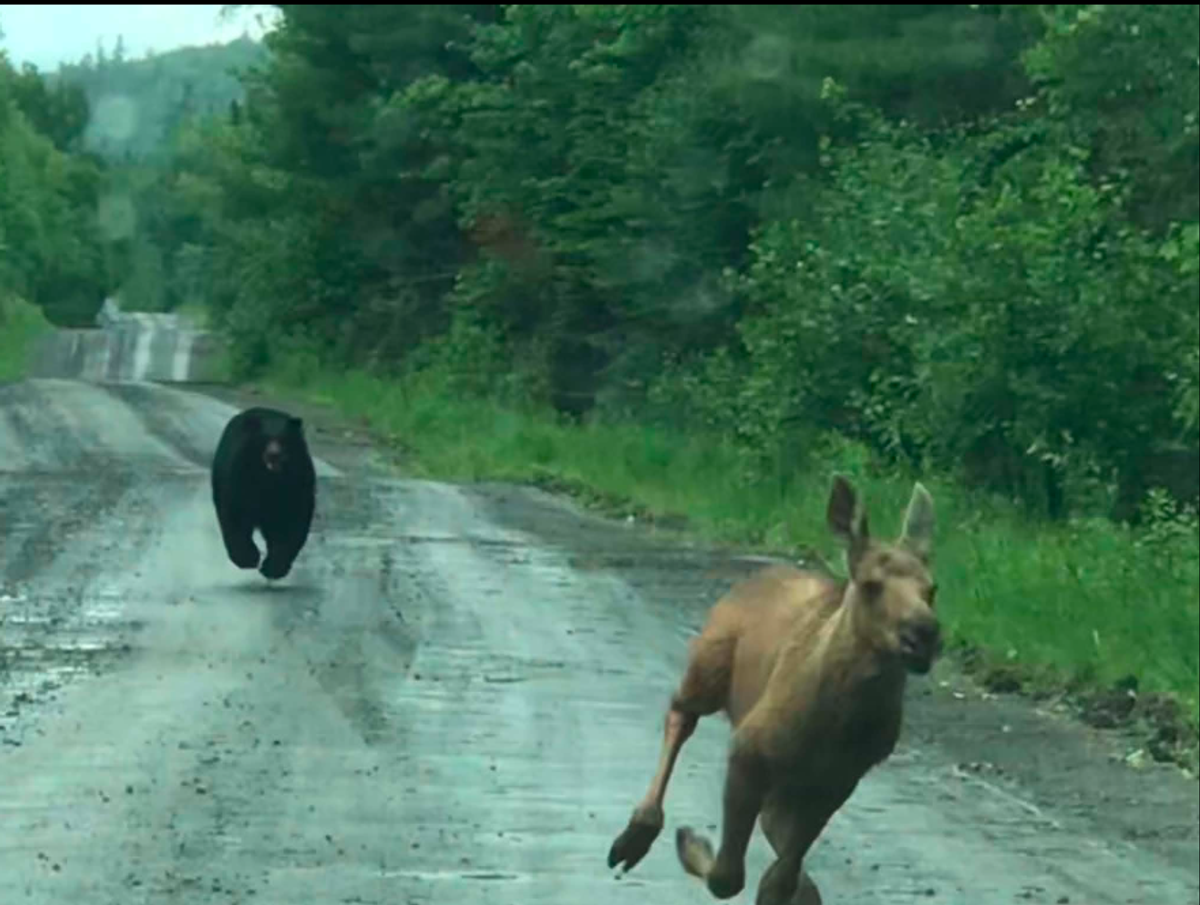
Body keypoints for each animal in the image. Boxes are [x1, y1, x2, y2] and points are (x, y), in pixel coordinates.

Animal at [211, 406, 316, 581]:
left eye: (283, 439)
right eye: (264, 439)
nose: (274, 454)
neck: (269, 478)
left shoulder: (298, 482)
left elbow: (292, 521)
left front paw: (274, 567)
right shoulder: (239, 476)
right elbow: (236, 513)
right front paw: (247, 558)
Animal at [607, 475, 940, 904]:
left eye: (932, 589)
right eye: (870, 584)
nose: (924, 634)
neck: (840, 721)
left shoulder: (839, 780)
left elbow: (781, 876)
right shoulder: (748, 749)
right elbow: (728, 877)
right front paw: (694, 844)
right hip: (709, 664)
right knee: (681, 712)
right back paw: (638, 834)